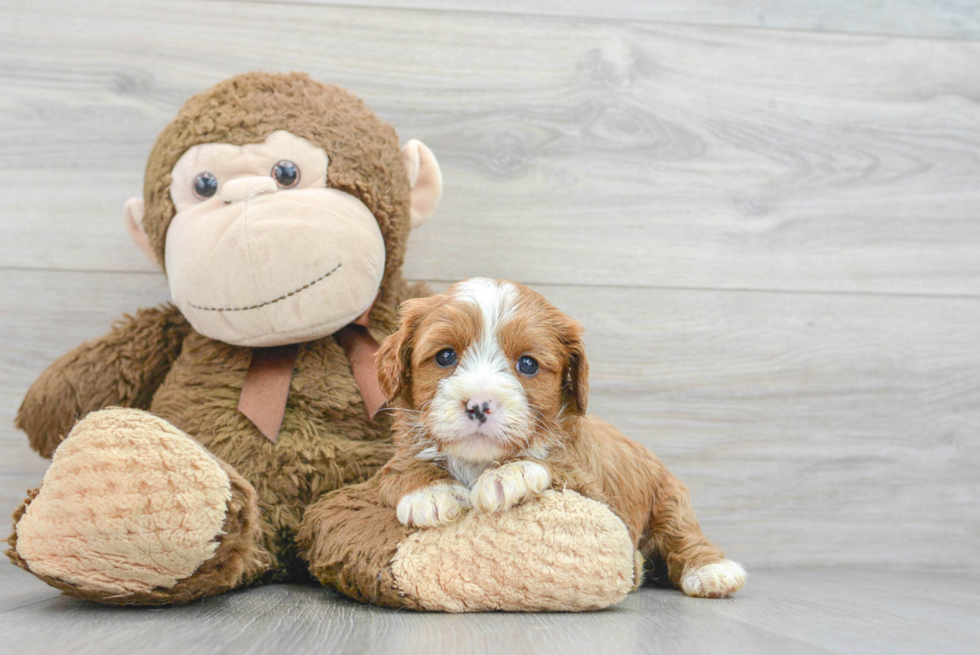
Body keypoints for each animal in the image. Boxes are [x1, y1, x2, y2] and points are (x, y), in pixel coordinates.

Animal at [376, 280, 744, 596]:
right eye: (445, 356)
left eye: (527, 364)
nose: (479, 405)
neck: (478, 460)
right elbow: (397, 470)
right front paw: (430, 492)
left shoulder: (595, 492)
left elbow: (554, 465)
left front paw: (510, 475)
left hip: (669, 500)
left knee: (682, 536)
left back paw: (712, 571)